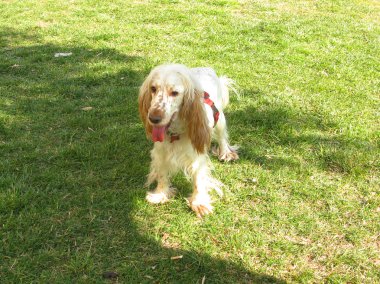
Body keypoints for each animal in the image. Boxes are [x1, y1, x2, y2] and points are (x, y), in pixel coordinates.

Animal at [138, 63, 239, 216]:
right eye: (153, 89)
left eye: (174, 93)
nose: (153, 118)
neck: (175, 134)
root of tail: (207, 68)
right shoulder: (161, 154)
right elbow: (162, 174)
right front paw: (160, 194)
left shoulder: (197, 158)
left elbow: (198, 180)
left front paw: (199, 203)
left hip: (220, 118)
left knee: (222, 137)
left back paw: (226, 153)